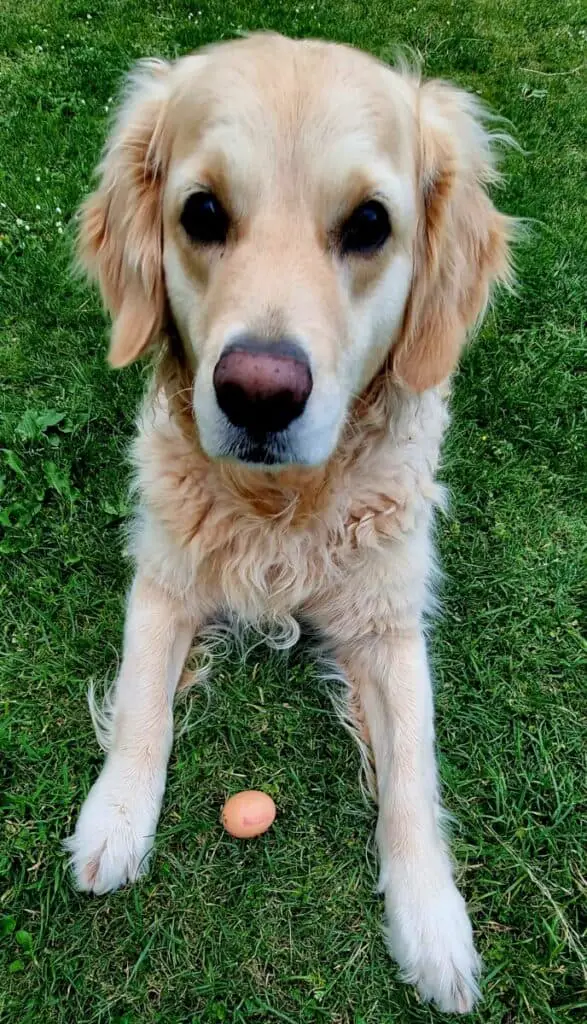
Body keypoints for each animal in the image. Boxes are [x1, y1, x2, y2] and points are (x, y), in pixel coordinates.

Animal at [65, 34, 512, 1015]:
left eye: (369, 224)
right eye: (200, 212)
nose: (258, 395)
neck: (282, 504)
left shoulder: (388, 622)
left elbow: (413, 771)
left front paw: (435, 927)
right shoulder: (163, 577)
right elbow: (143, 704)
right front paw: (113, 822)